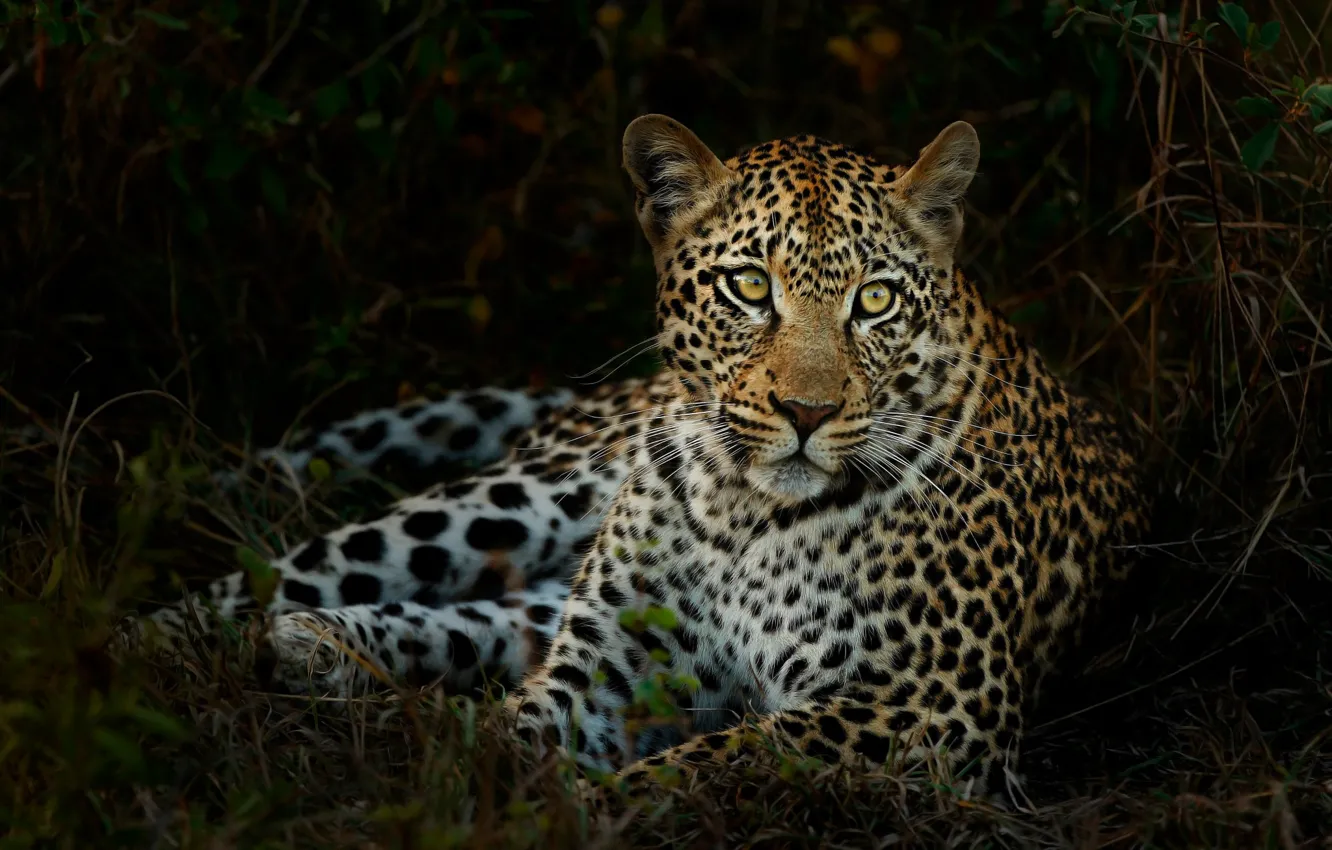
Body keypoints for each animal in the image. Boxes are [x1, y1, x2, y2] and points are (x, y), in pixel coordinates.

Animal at [119, 114, 1147, 801]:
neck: (744, 514)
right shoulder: (605, 677)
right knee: (296, 572)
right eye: (749, 288)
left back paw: (328, 657)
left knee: (485, 623)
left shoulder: (929, 707)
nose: (807, 411)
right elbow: (520, 736)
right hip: (525, 496)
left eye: (877, 302)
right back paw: (138, 660)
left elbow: (711, 762)